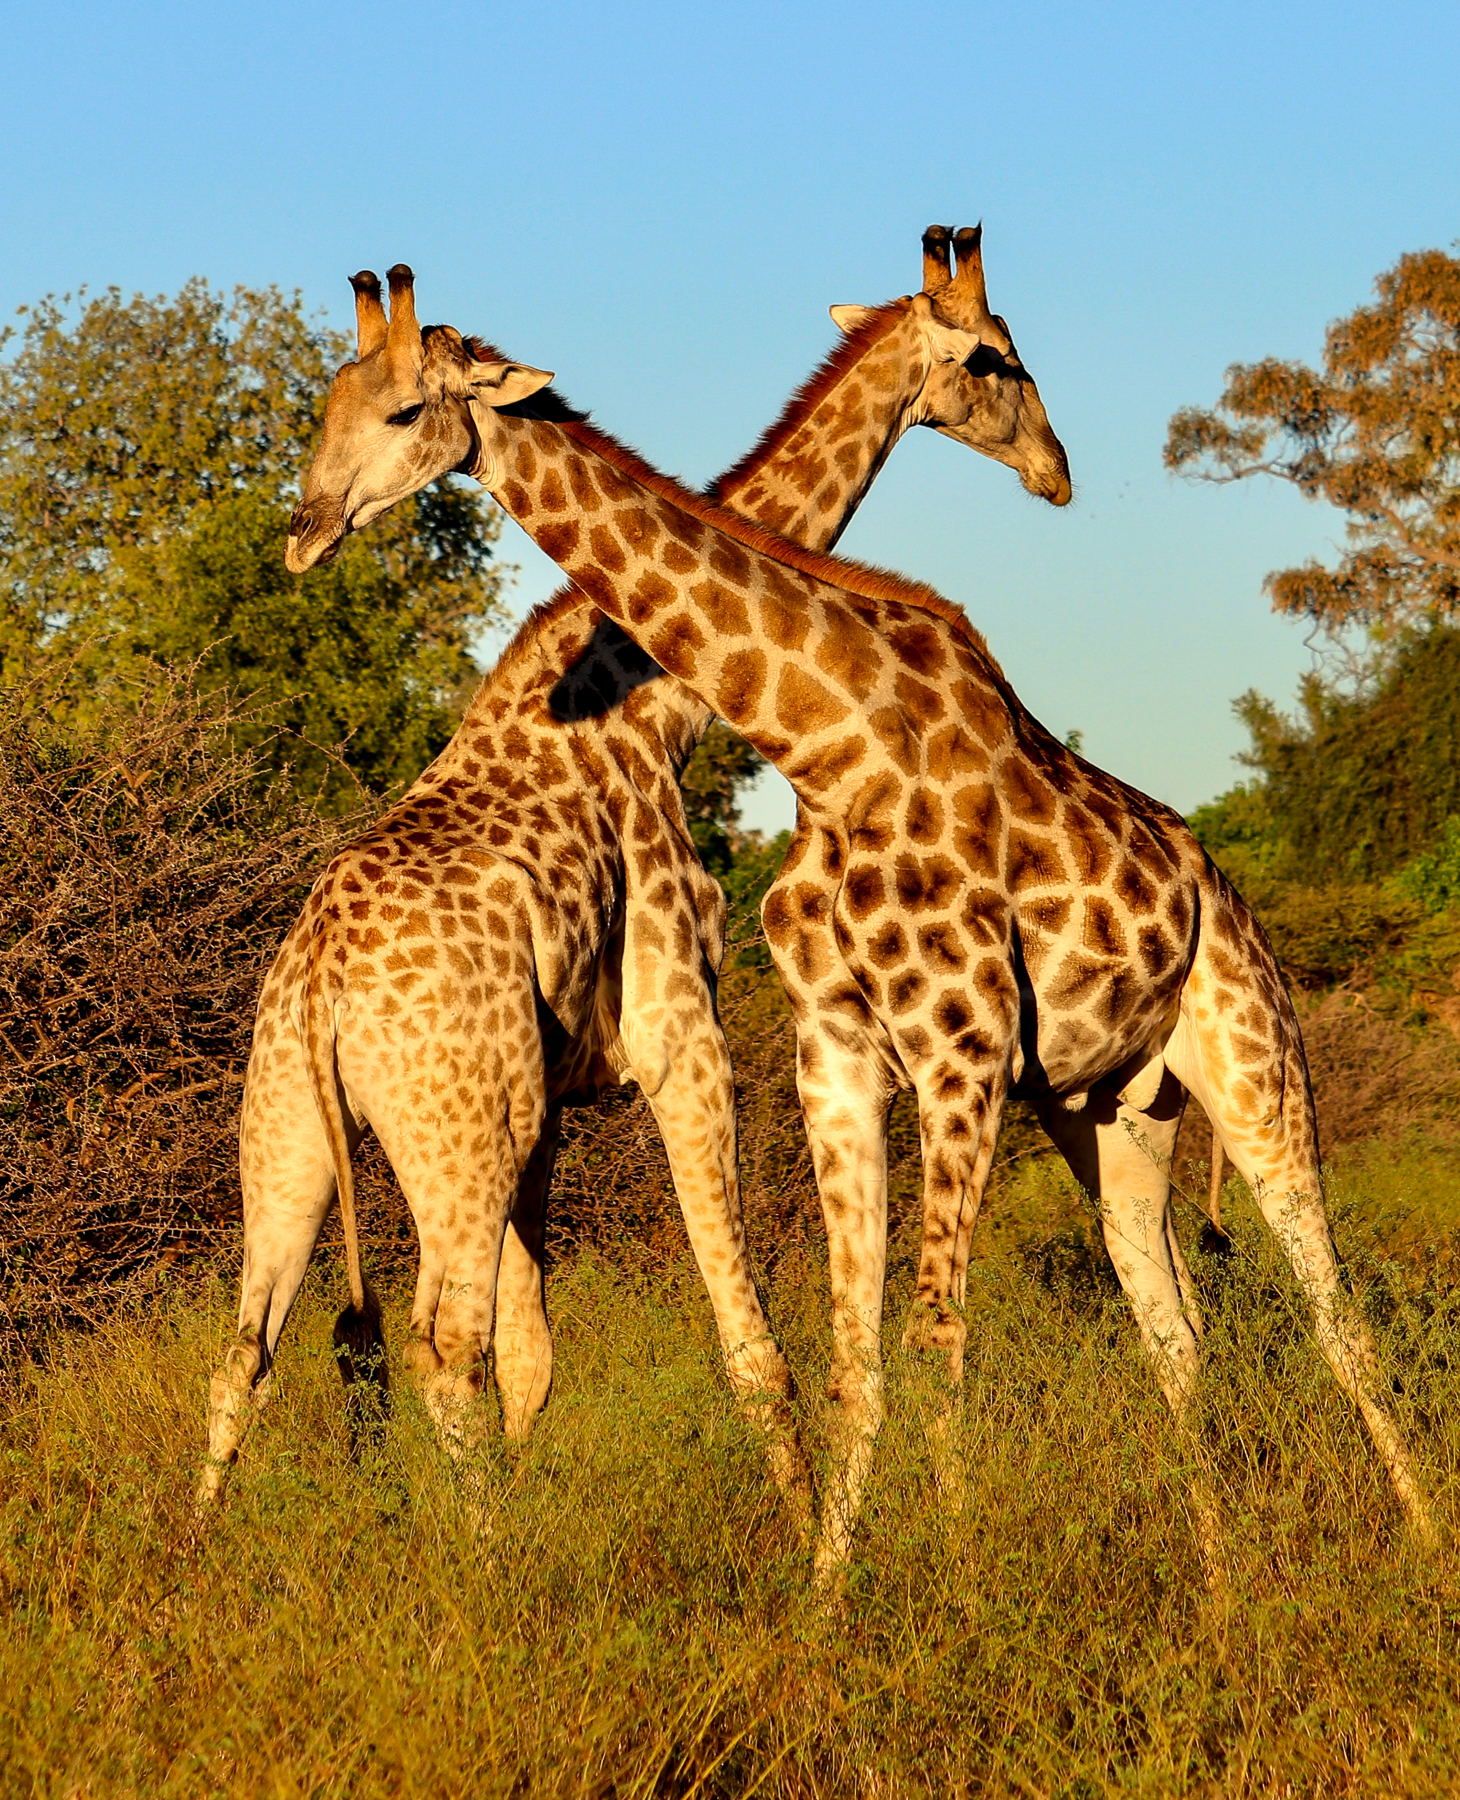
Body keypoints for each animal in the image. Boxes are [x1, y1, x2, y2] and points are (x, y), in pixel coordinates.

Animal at [199, 231, 1070, 1510]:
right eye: (996, 359)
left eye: (382, 406)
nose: (1055, 471)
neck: (653, 703)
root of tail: (314, 986)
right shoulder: (677, 1032)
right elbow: (745, 1340)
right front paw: (805, 1525)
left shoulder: (547, 1105)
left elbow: (534, 1359)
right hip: (447, 1129)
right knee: (436, 1343)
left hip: (295, 1131)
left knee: (248, 1352)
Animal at [280, 263, 1432, 1579]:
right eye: (334, 406)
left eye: (402, 409)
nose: (304, 529)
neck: (822, 740)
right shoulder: (822, 1054)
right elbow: (856, 1357)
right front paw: (840, 1594)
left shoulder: (951, 1055)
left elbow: (921, 1348)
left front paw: (947, 1589)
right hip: (1108, 1110)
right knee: (1176, 1332)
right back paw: (1226, 1579)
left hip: (1240, 1064)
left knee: (1322, 1312)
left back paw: (1383, 1550)